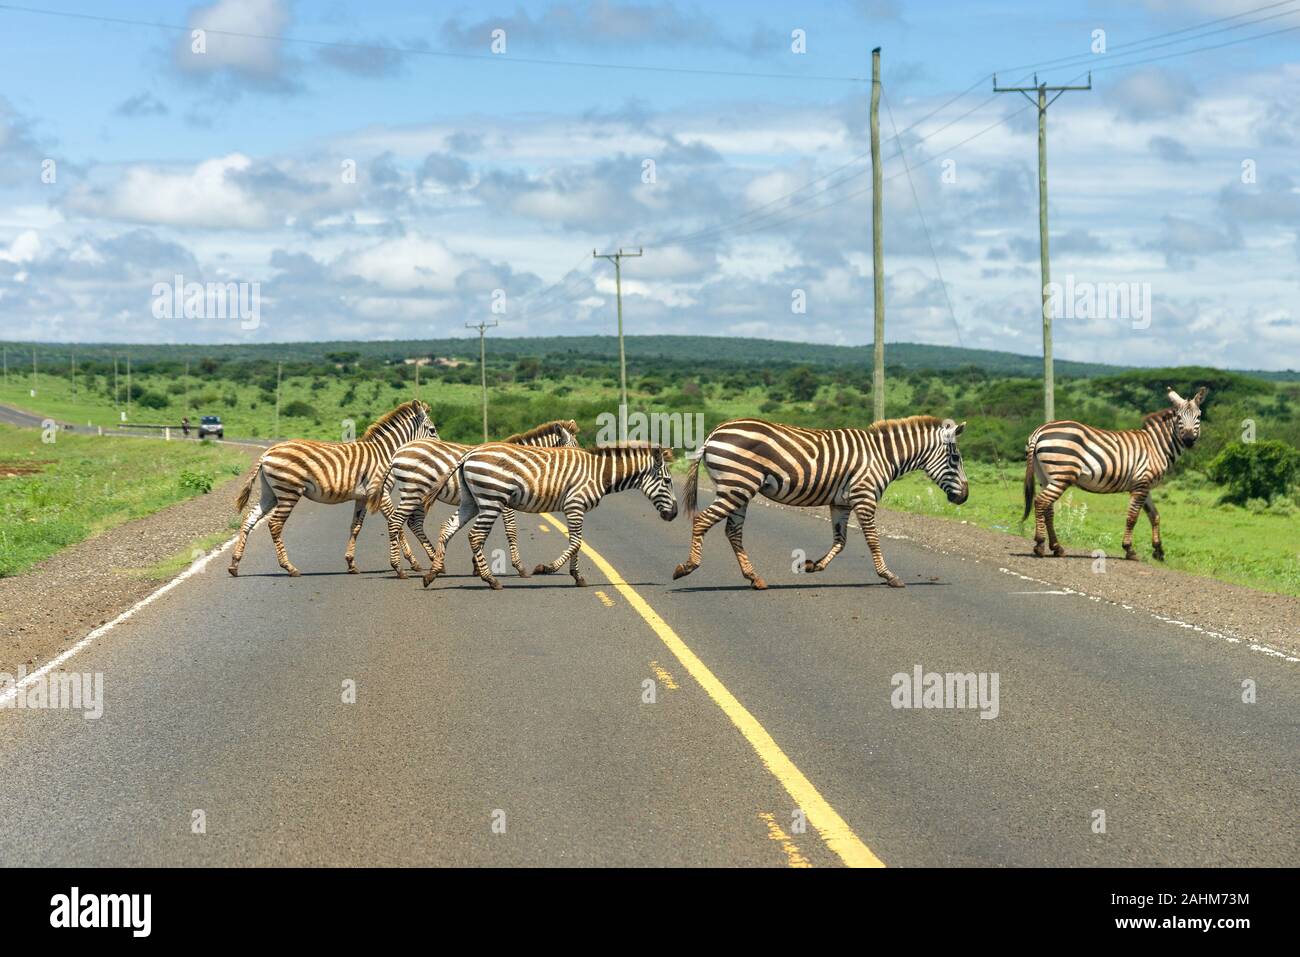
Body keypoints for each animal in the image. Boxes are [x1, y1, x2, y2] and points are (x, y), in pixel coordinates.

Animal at [228, 397, 436, 574]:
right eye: (433, 431)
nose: (438, 448)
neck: (385, 454)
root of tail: (267, 452)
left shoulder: (363, 497)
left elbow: (355, 527)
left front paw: (351, 563)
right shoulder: (381, 492)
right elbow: (397, 525)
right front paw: (413, 562)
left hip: (269, 492)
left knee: (249, 519)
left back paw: (234, 564)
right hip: (289, 491)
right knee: (275, 524)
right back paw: (289, 567)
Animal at [361, 421, 579, 582]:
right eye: (575, 449)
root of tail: (398, 453)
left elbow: (485, 533)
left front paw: (477, 567)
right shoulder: (504, 502)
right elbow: (510, 531)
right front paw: (520, 568)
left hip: (418, 494)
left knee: (412, 523)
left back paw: (433, 562)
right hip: (414, 490)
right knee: (398, 521)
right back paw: (402, 568)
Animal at [418, 442, 681, 590]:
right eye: (667, 481)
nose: (675, 514)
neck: (601, 474)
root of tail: (469, 455)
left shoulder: (575, 508)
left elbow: (576, 543)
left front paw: (577, 577)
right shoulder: (575, 504)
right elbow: (576, 542)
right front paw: (545, 568)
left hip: (471, 501)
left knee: (447, 529)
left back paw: (432, 574)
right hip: (491, 499)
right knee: (474, 536)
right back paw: (491, 580)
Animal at [670, 416, 967, 587]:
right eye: (955, 459)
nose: (964, 497)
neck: (883, 455)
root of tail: (713, 434)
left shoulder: (842, 502)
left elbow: (841, 540)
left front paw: (814, 565)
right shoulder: (864, 495)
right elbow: (872, 539)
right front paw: (889, 575)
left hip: (738, 489)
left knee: (733, 531)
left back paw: (754, 578)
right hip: (737, 486)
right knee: (703, 520)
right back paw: (687, 567)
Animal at [1024, 384, 1206, 561]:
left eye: (1198, 417)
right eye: (1179, 418)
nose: (1189, 440)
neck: (1156, 446)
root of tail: (1040, 430)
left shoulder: (1144, 485)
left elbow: (1155, 516)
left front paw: (1158, 551)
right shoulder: (1141, 483)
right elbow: (1132, 517)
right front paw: (1129, 550)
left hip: (1045, 478)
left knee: (1048, 508)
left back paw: (1056, 547)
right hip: (1061, 475)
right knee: (1040, 502)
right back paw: (1040, 544)